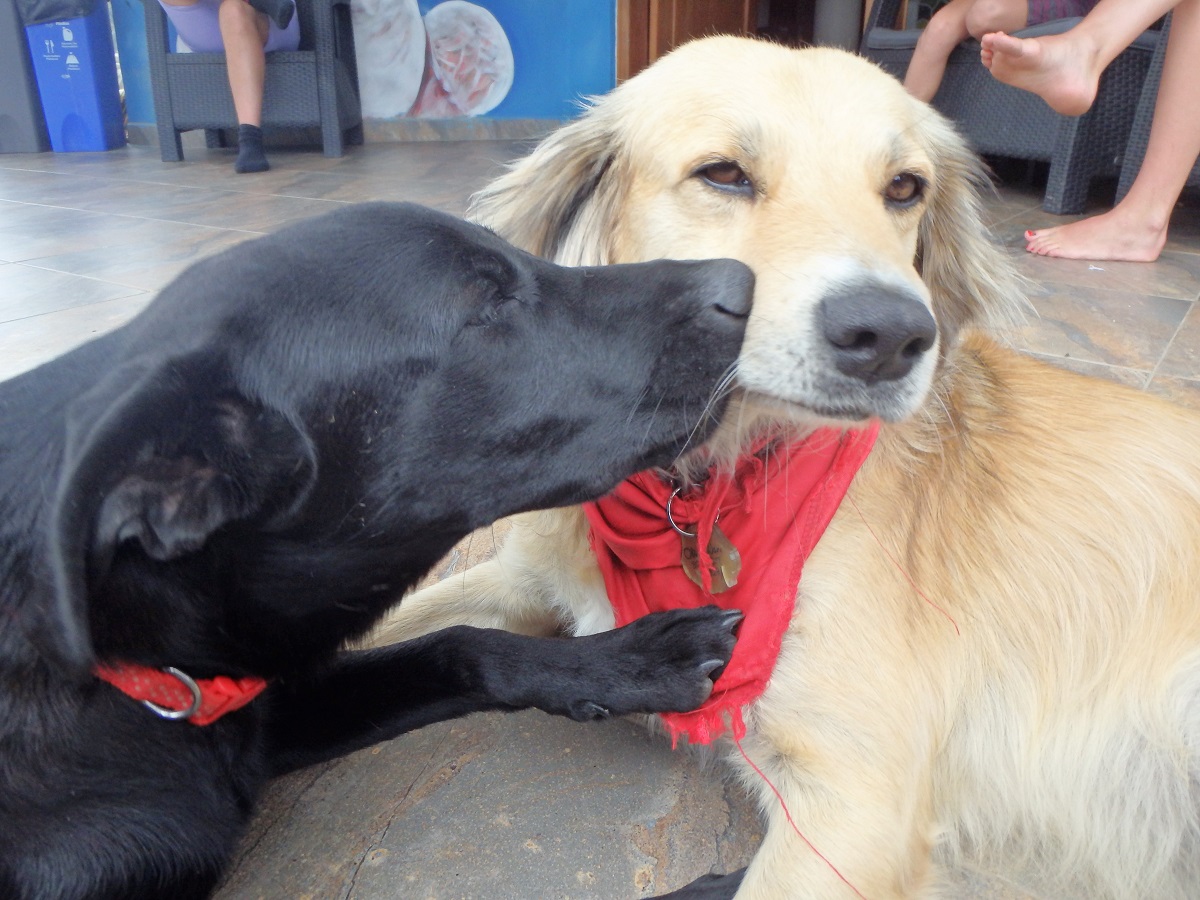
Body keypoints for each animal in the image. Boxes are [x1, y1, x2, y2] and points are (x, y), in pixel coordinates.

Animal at [369, 37, 1200, 900]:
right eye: (724, 173)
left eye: (904, 188)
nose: (893, 336)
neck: (703, 486)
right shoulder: (519, 582)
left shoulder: (855, 801)